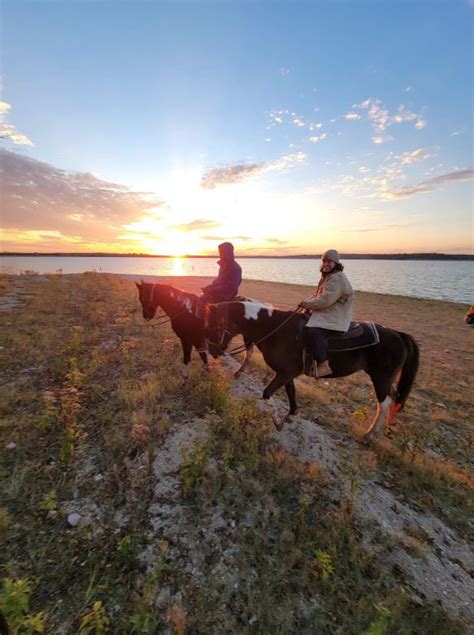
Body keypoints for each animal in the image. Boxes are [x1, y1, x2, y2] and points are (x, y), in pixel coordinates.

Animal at [206, 300, 420, 442]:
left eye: (215, 324)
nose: (213, 352)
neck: (277, 329)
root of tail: (398, 334)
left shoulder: (285, 373)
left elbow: (267, 393)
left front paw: (278, 422)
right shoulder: (287, 373)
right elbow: (290, 392)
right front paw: (292, 414)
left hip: (380, 378)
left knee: (383, 403)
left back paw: (369, 434)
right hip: (386, 379)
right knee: (394, 398)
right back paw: (387, 429)